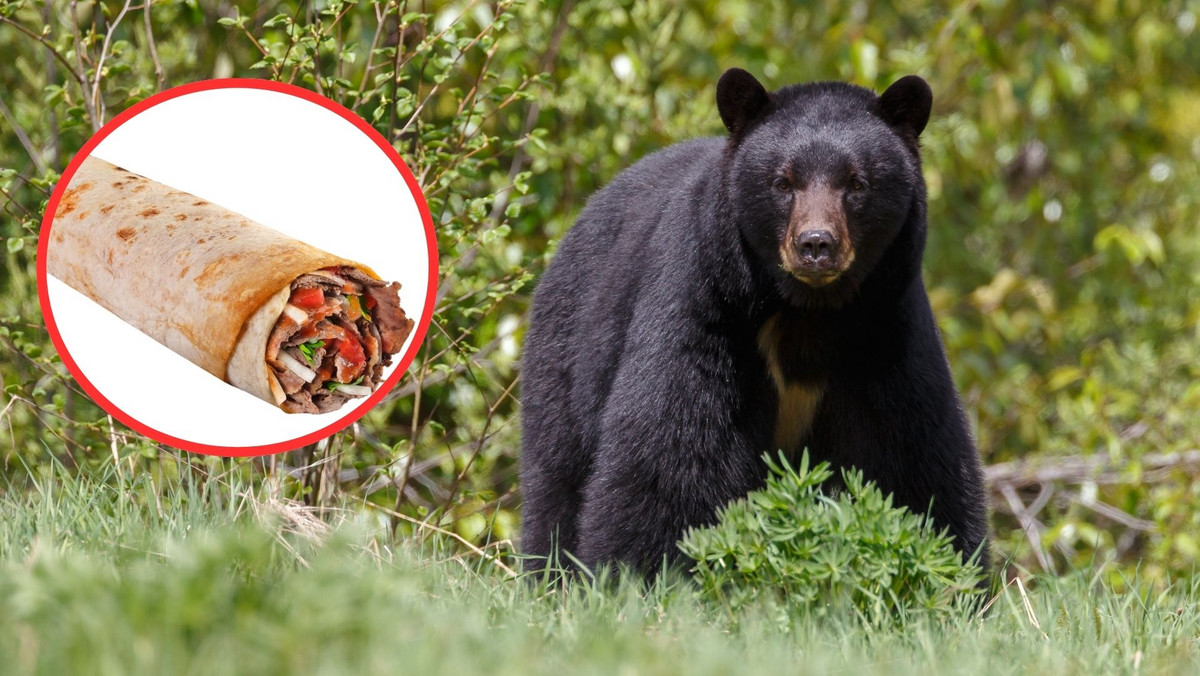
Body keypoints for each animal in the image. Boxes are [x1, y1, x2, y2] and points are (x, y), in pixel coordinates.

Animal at [520, 70, 988, 576]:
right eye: (782, 182)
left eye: (857, 183)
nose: (816, 244)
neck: (807, 311)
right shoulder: (707, 307)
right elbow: (670, 452)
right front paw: (637, 573)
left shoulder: (884, 331)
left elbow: (912, 457)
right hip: (568, 351)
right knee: (557, 477)